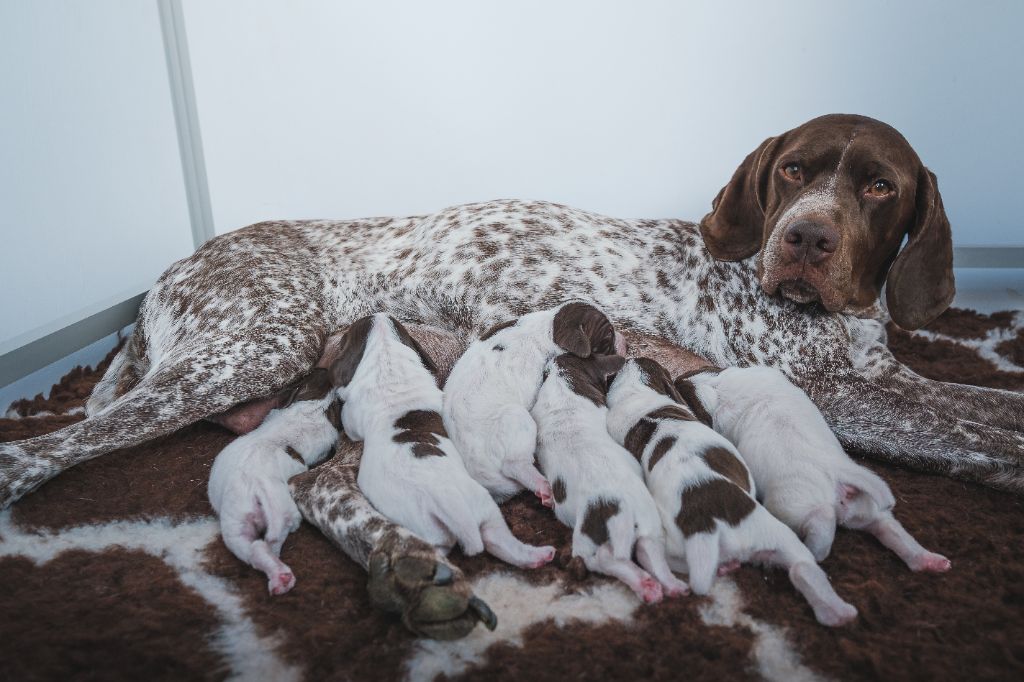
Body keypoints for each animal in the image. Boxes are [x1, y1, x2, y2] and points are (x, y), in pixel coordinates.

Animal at [207, 366, 339, 593]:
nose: (322, 367)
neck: (313, 406)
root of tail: (255, 484)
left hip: (235, 519)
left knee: (254, 548)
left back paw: (278, 575)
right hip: (283, 511)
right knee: (272, 539)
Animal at [329, 313, 557, 569]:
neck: (387, 355)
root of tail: (449, 506)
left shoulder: (353, 417)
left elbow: (350, 426)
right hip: (482, 505)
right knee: (499, 541)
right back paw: (537, 556)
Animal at [528, 350, 688, 602]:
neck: (562, 386)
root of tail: (621, 513)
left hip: (605, 533)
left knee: (616, 557)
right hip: (639, 527)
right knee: (630, 556)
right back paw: (661, 587)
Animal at [679, 364, 950, 569]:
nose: (680, 378)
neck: (720, 386)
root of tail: (841, 474)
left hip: (792, 505)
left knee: (821, 520)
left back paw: (815, 552)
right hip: (868, 509)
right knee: (889, 528)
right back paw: (929, 560)